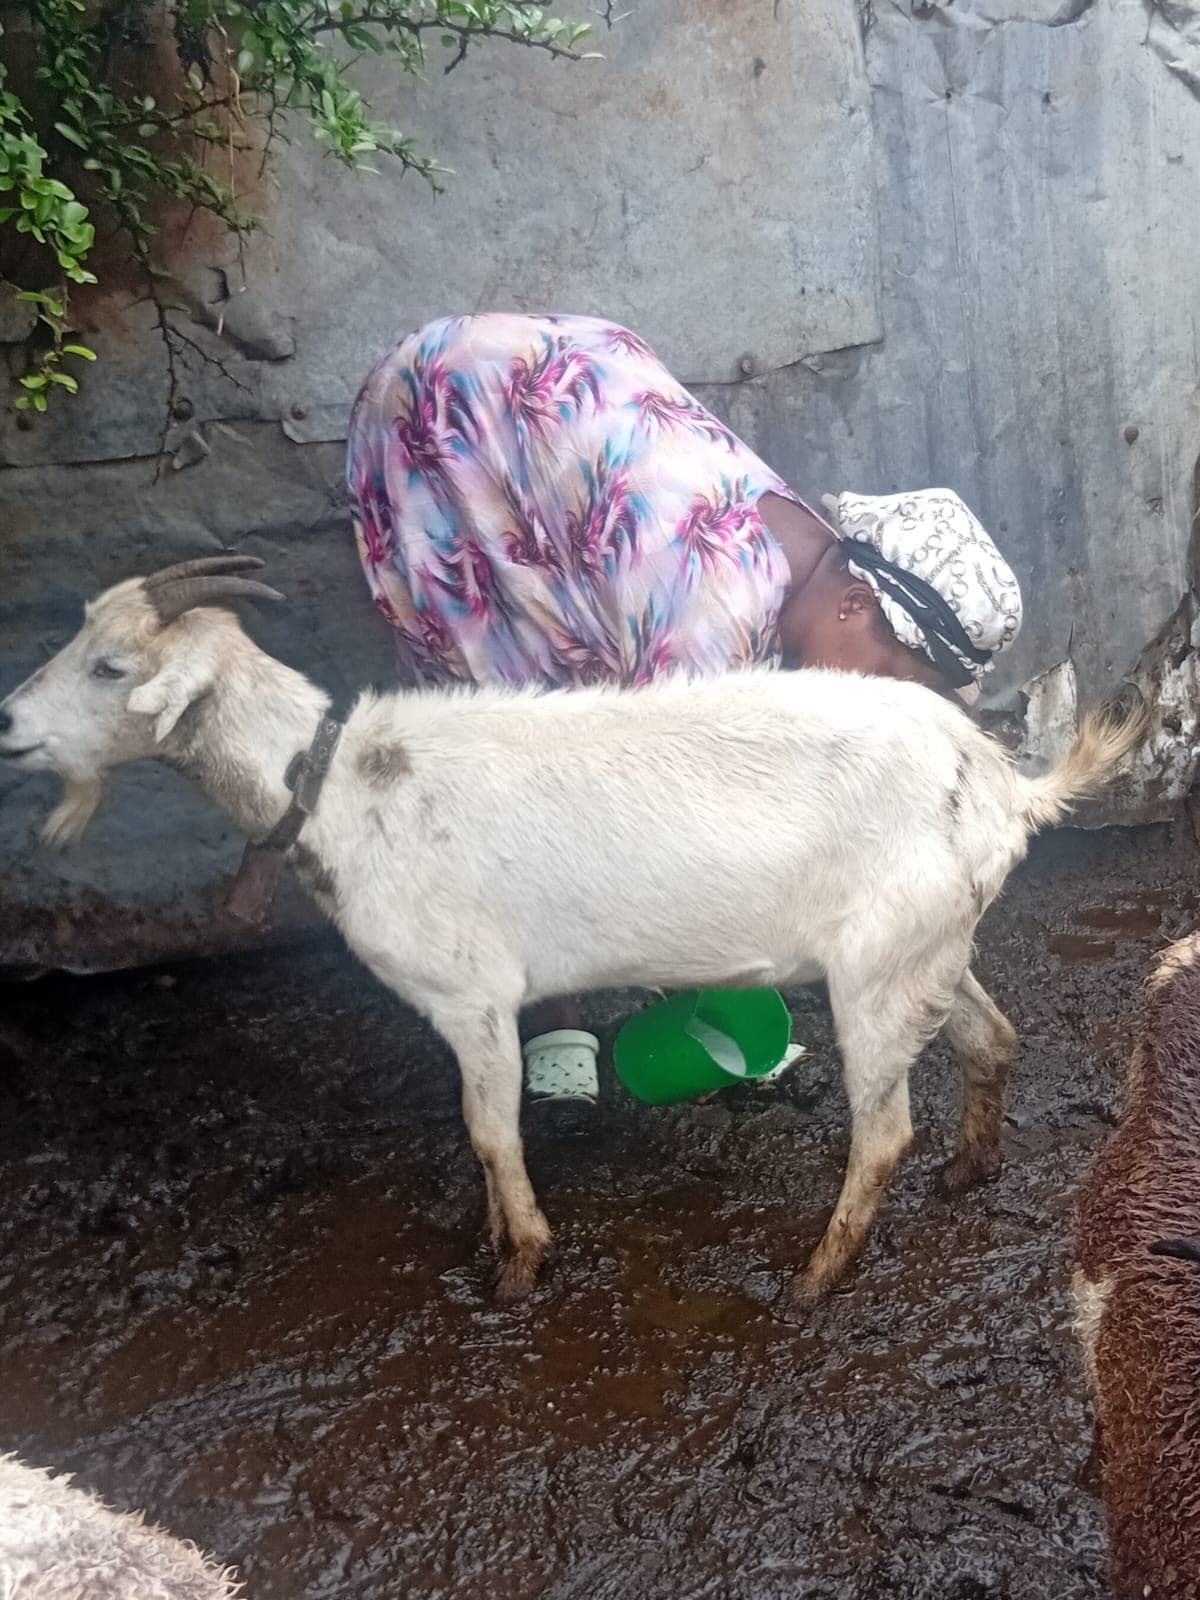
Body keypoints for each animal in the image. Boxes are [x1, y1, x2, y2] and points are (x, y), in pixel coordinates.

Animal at [0, 557, 1141, 1304]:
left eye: (110, 667)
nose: (9, 724)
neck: (335, 782)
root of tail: (1001, 782)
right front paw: (501, 1241)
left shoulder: (469, 992)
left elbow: (489, 1130)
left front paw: (518, 1262)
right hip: (929, 944)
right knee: (990, 1037)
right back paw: (968, 1172)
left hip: (879, 961)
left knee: (883, 1130)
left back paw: (817, 1276)